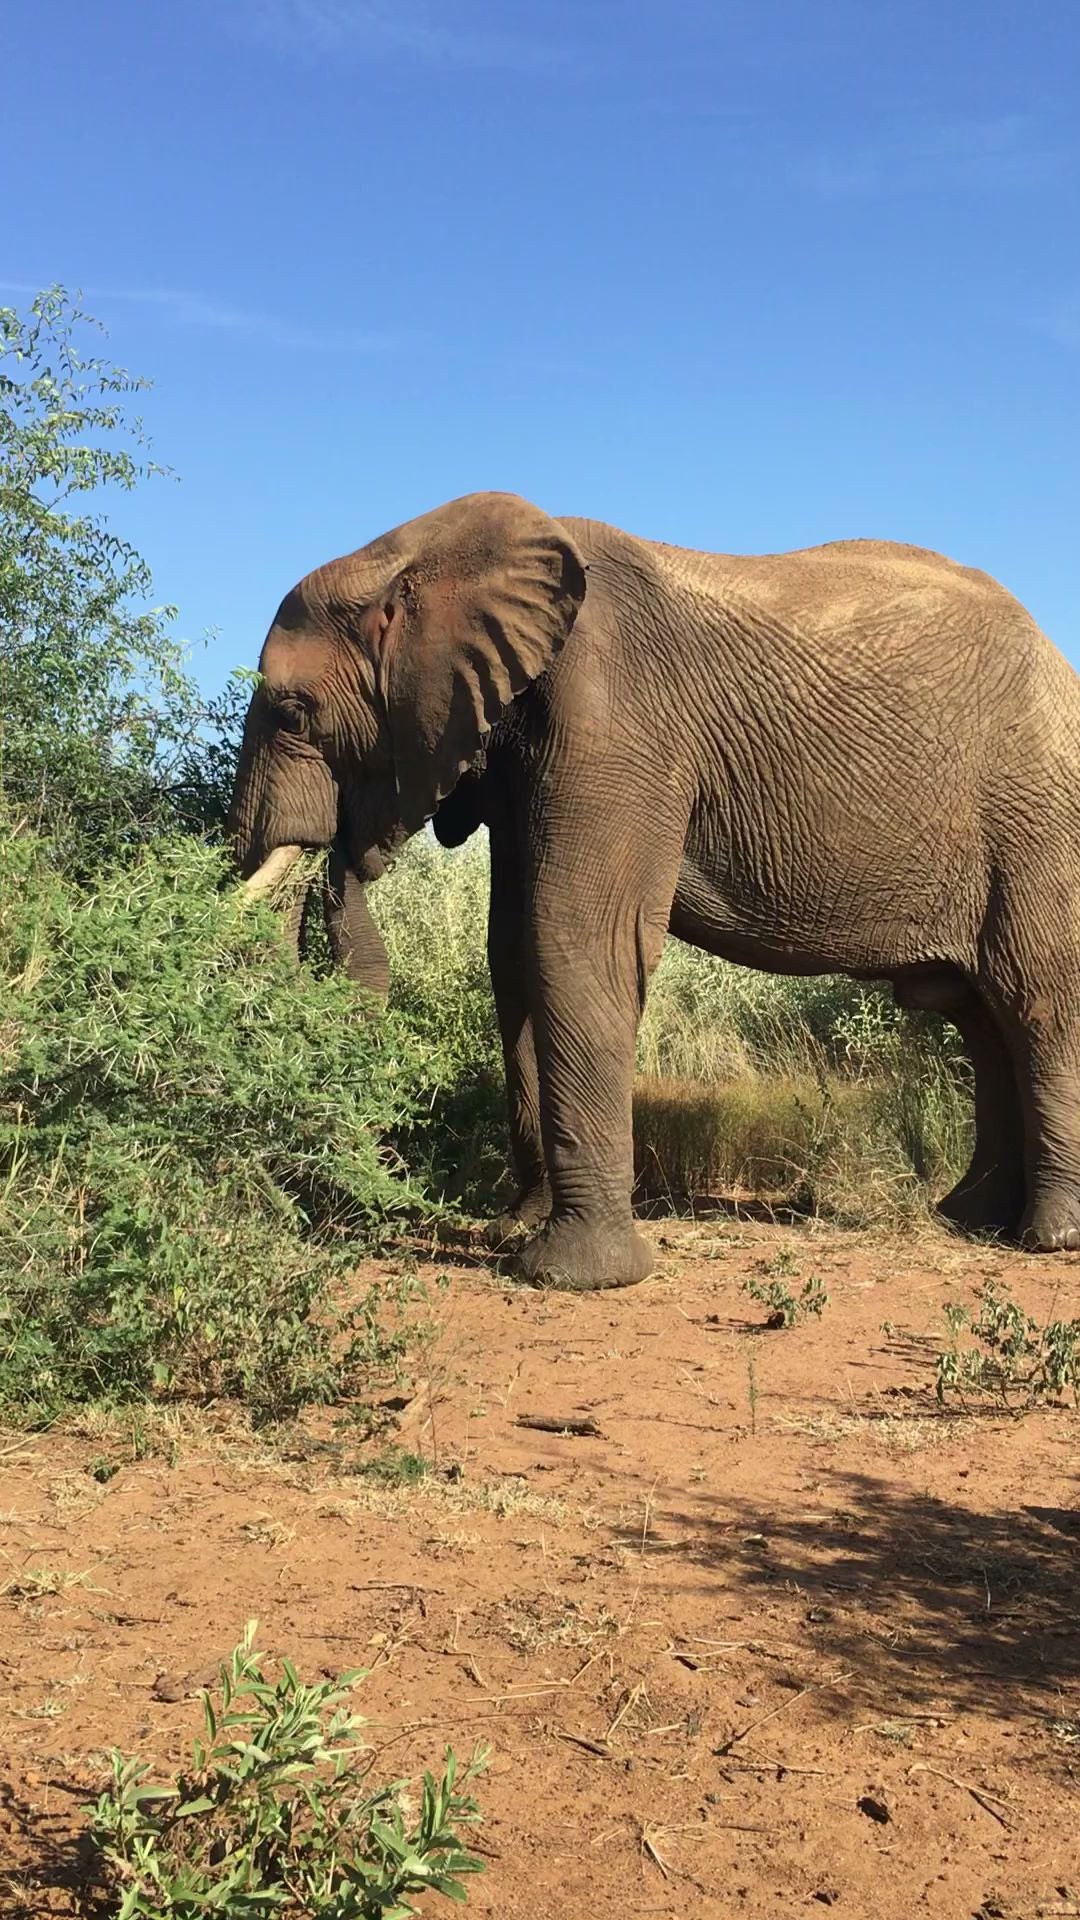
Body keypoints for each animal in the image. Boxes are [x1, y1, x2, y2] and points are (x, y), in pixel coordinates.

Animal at [228, 491, 1080, 1290]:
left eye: (293, 713)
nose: (341, 852)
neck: (423, 551)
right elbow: (513, 950)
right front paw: (518, 1228)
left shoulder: (614, 717)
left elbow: (572, 936)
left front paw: (577, 1276)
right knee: (981, 1016)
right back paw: (969, 1219)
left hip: (1040, 822)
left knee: (1034, 998)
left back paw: (1048, 1238)